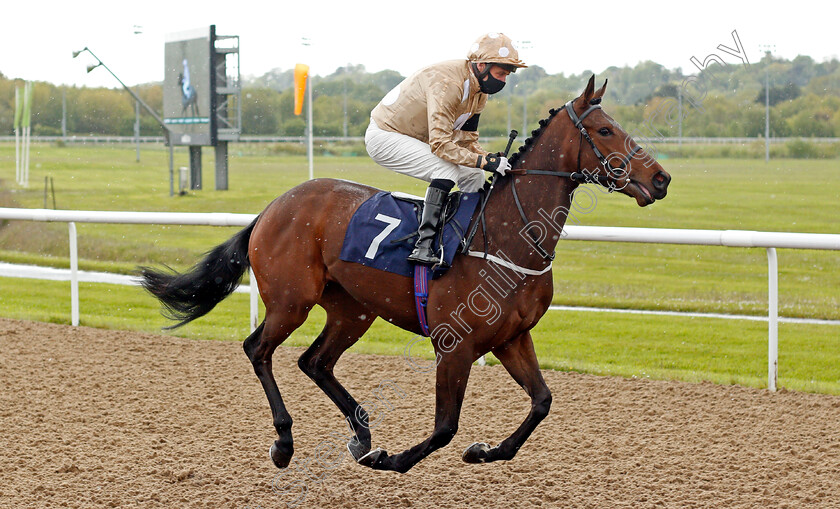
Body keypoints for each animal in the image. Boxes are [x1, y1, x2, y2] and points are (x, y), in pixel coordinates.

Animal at [141, 75, 672, 472]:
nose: (661, 178)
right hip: (291, 301)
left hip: (352, 310)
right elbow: (444, 427)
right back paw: (286, 443)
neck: (508, 234)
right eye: (604, 131)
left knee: (315, 361)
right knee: (259, 350)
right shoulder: (455, 346)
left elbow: (542, 401)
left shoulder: (512, 338)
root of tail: (273, 207)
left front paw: (485, 451)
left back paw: (361, 435)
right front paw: (392, 459)